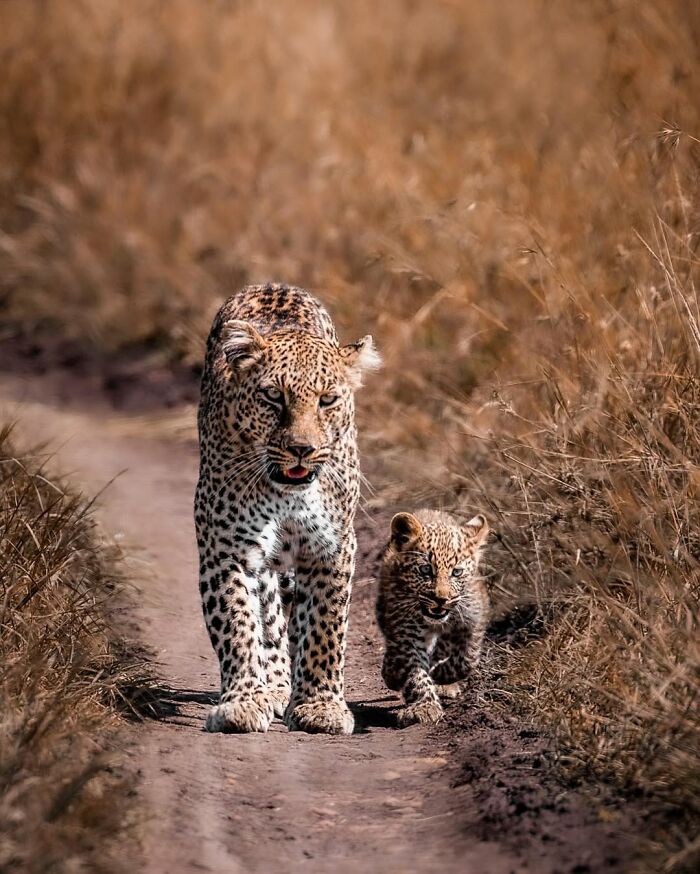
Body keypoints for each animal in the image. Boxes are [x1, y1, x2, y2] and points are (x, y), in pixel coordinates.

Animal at [195, 283, 380, 735]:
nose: (302, 449)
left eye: (327, 400)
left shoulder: (331, 547)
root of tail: (273, 284)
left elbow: (325, 627)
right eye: (273, 397)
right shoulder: (226, 548)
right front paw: (243, 702)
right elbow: (238, 623)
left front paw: (320, 706)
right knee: (270, 617)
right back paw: (274, 686)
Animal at [376, 509, 490, 727]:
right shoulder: (406, 632)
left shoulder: (473, 621)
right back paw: (392, 673)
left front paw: (439, 674)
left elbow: (466, 659)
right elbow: (415, 671)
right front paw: (424, 706)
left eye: (457, 572)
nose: (441, 599)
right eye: (426, 570)